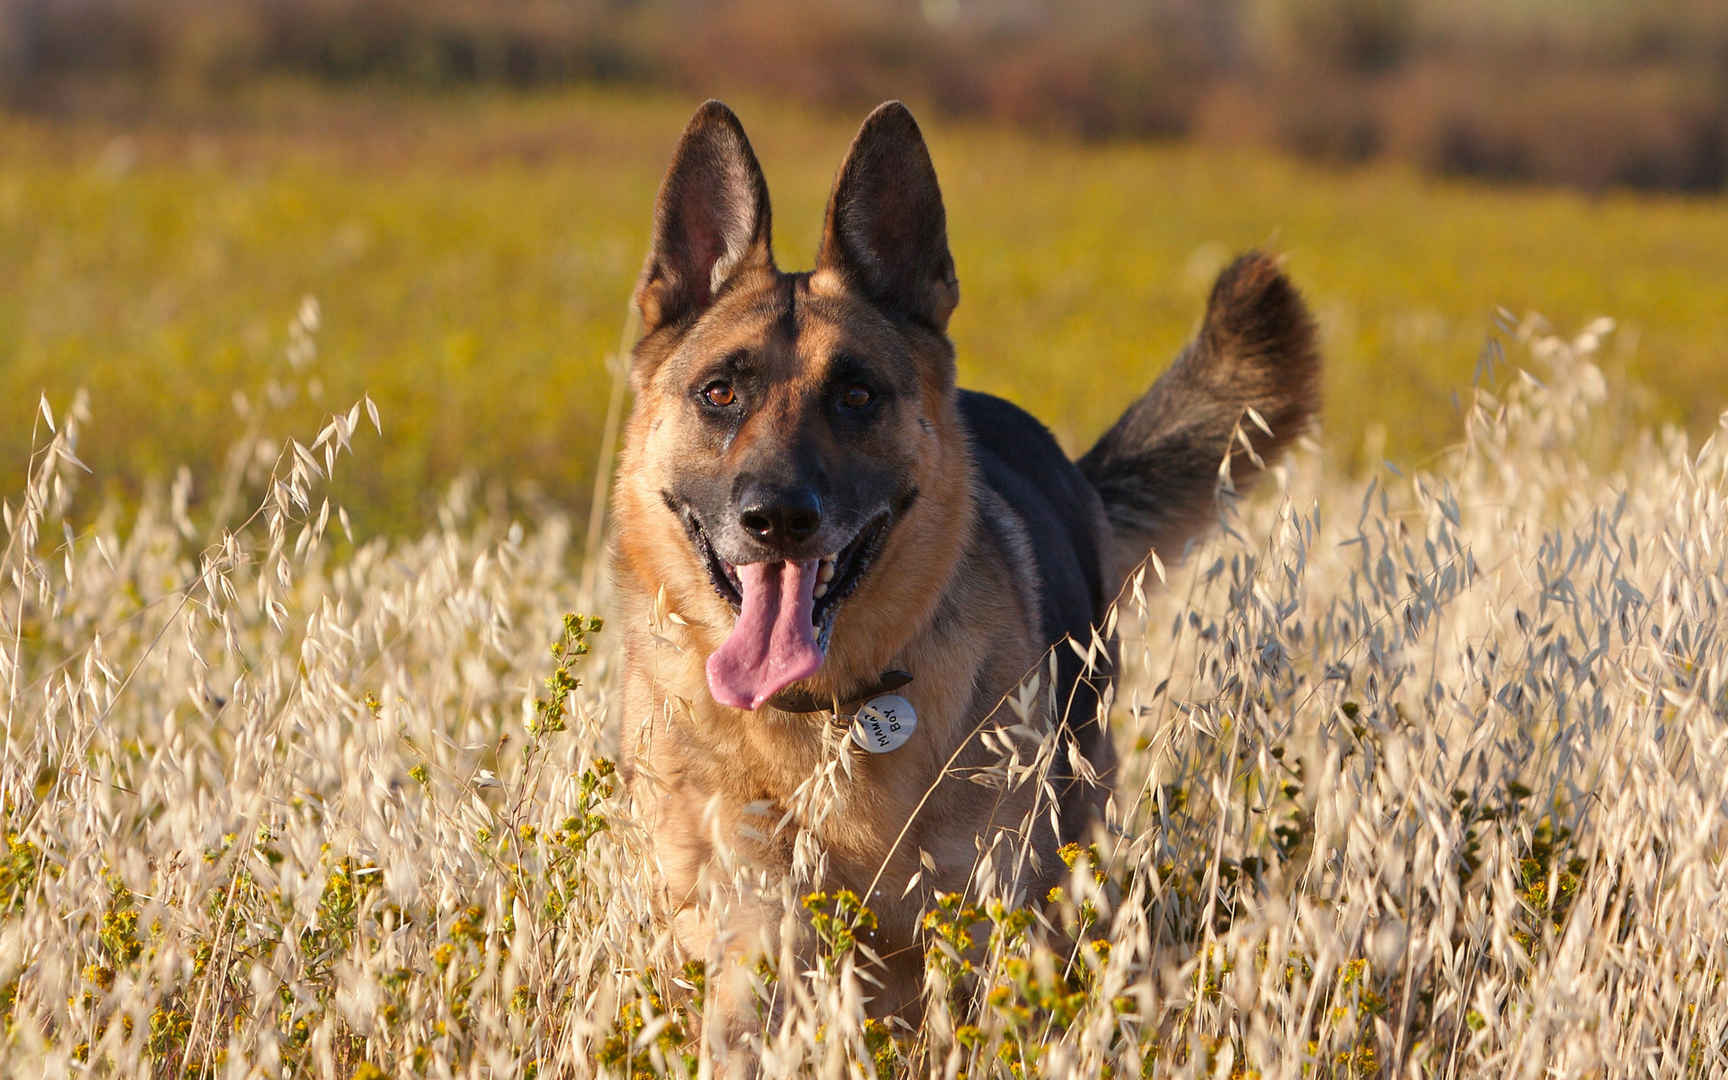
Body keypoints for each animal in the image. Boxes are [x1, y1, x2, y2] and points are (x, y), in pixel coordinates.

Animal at [615, 101, 1313, 1043]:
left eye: (857, 396)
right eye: (720, 393)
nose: (778, 518)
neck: (830, 714)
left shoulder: (985, 921)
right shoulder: (754, 920)